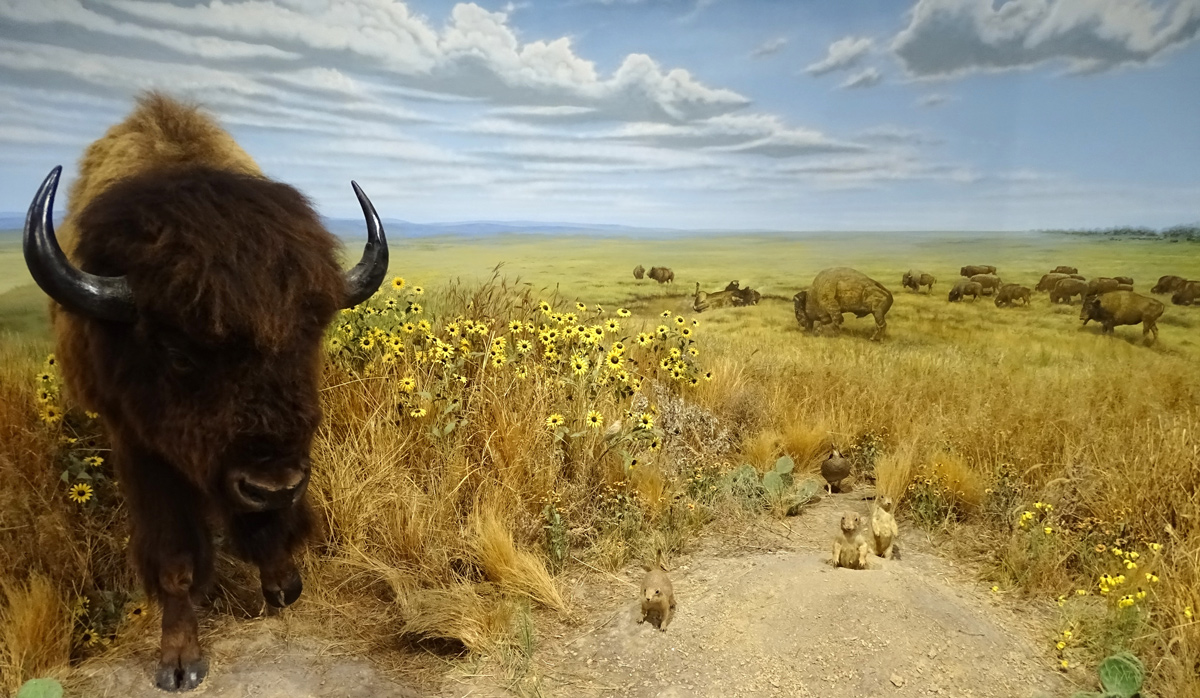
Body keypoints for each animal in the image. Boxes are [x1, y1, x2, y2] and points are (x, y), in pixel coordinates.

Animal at [22, 94, 388, 691]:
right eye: (178, 353)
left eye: (310, 338)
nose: (271, 482)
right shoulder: (138, 445)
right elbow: (174, 558)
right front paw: (180, 663)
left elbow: (266, 525)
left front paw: (282, 586)